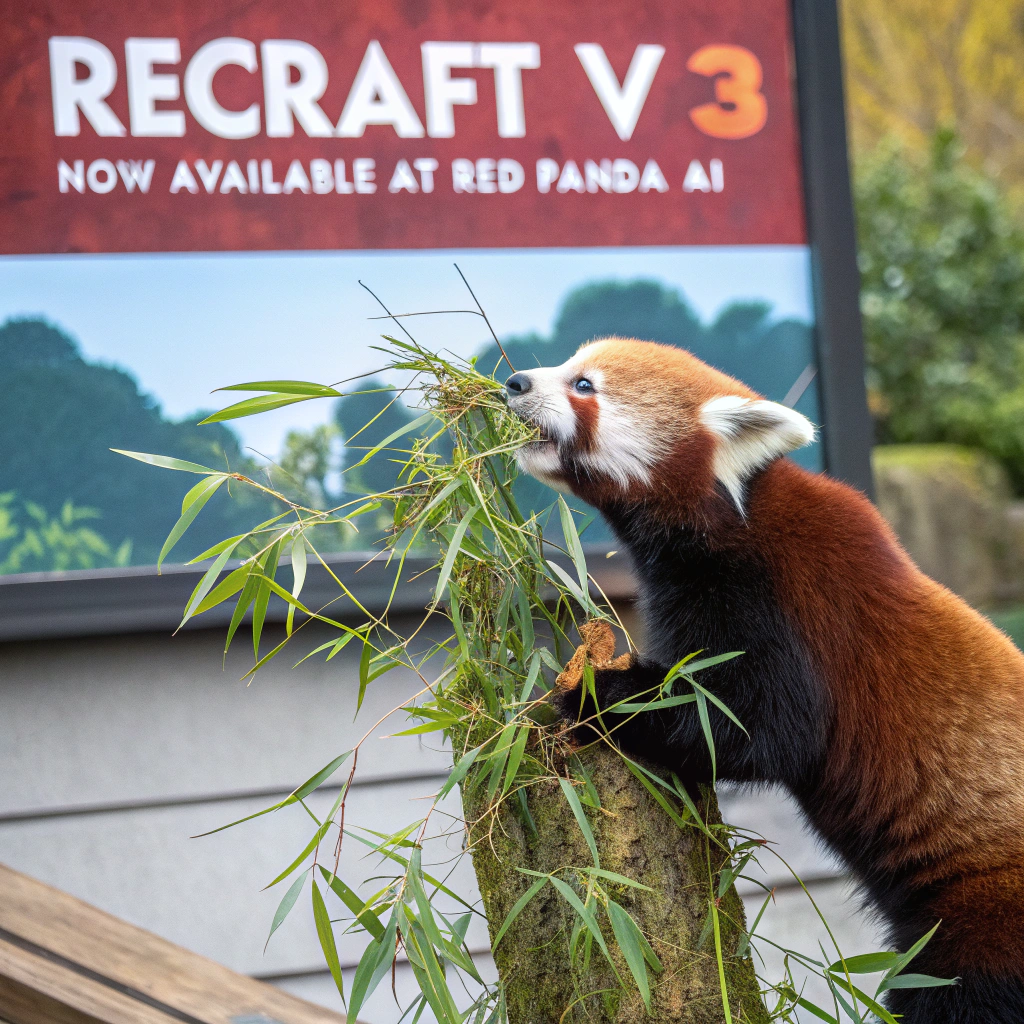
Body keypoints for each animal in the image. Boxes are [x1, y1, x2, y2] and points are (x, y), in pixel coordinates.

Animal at [503, 337, 1024, 1024]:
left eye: (584, 385)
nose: (515, 381)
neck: (731, 512)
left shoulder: (776, 598)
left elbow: (761, 728)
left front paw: (597, 694)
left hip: (985, 916)